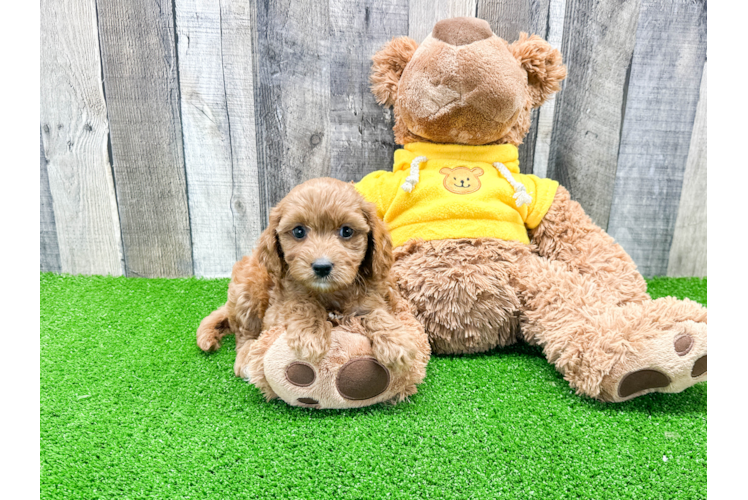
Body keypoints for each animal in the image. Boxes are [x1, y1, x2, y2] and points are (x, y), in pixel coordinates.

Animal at [197, 176, 420, 378]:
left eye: (346, 231)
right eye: (298, 231)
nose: (322, 267)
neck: (329, 293)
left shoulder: (371, 296)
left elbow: (375, 312)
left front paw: (395, 339)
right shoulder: (276, 311)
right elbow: (302, 303)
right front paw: (310, 334)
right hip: (247, 289)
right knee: (244, 334)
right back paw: (245, 357)